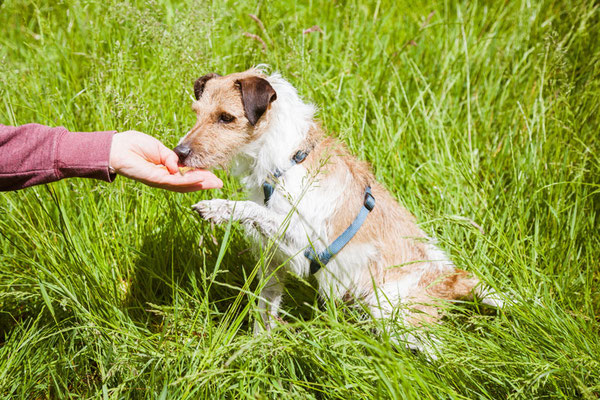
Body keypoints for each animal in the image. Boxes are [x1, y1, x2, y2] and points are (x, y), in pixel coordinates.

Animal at [173, 68, 502, 356]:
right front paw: (256, 349)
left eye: (226, 118)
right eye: (196, 112)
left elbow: (252, 208)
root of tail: (451, 277)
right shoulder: (273, 262)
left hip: (390, 311)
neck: (287, 160)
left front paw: (219, 208)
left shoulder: (301, 245)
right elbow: (264, 310)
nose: (179, 153)